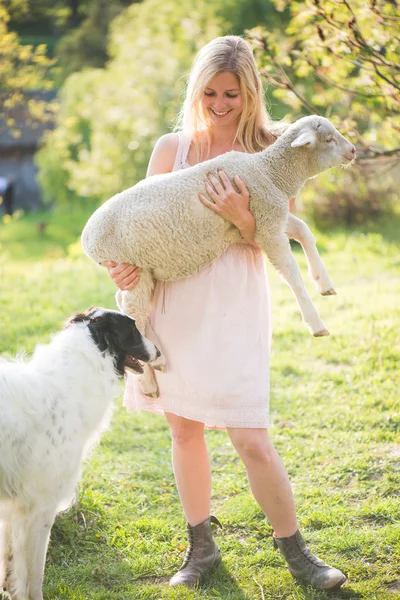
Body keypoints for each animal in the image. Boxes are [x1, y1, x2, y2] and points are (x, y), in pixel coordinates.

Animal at [0, 310, 159, 600]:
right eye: (132, 329)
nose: (159, 351)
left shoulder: (13, 506)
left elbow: (9, 569)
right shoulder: (39, 507)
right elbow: (32, 576)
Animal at [81, 116, 356, 398]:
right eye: (328, 140)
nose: (354, 150)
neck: (270, 174)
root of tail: (88, 238)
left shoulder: (268, 219)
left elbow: (304, 231)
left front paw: (324, 282)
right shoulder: (267, 224)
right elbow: (292, 274)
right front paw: (315, 322)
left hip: (142, 271)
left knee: (126, 303)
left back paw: (157, 360)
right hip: (129, 263)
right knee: (134, 313)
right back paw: (149, 380)